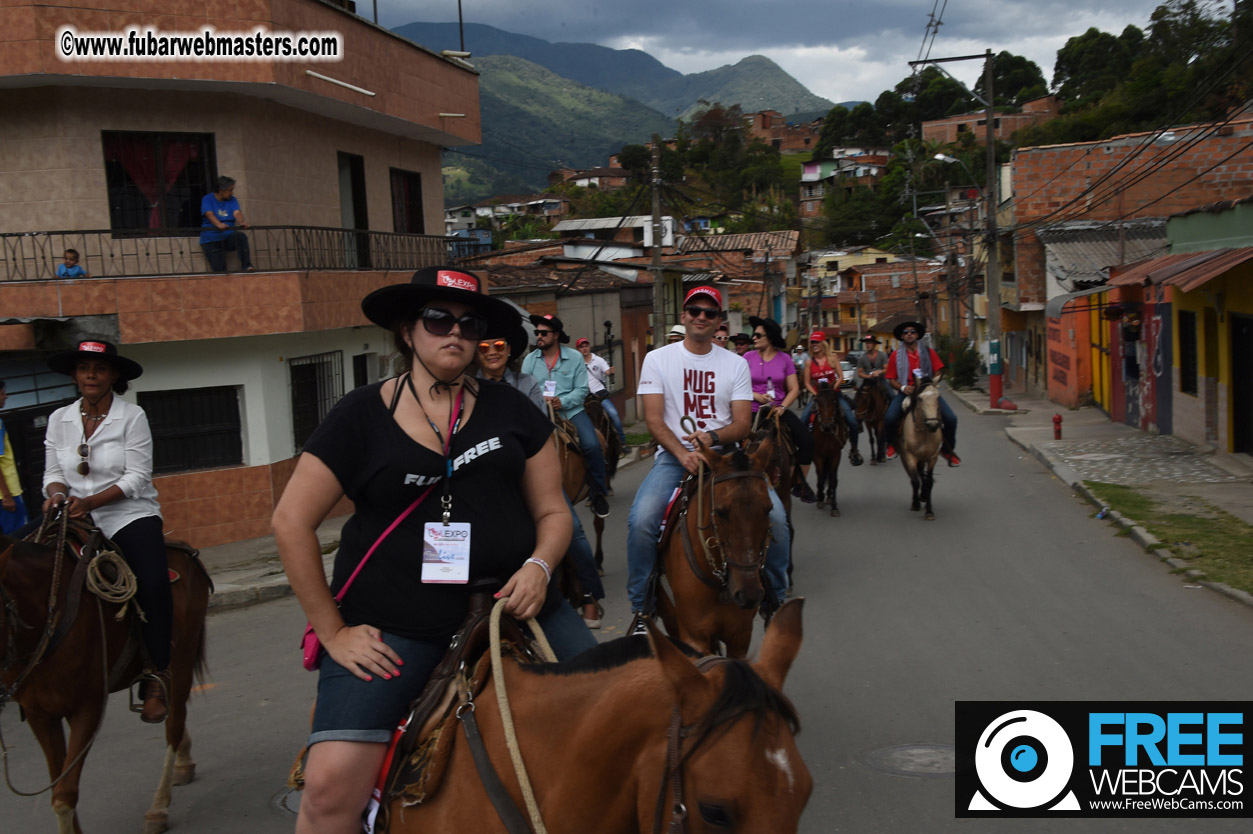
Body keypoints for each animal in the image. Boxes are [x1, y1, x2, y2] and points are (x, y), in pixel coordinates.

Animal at [0, 515, 210, 826]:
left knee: (174, 722)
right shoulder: (40, 715)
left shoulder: (87, 708)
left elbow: (64, 795)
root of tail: (187, 553)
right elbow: (59, 785)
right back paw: (183, 764)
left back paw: (158, 807)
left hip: (183, 656)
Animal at [806, 380, 847, 513]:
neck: (827, 434)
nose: (827, 426)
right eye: (817, 400)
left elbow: (833, 479)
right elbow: (820, 476)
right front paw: (819, 498)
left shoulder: (835, 454)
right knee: (823, 475)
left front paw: (834, 506)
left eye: (834, 400)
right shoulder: (817, 455)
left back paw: (829, 497)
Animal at [902, 378, 942, 520]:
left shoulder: (933, 457)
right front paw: (915, 503)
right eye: (920, 398)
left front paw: (929, 511)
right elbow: (915, 481)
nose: (933, 424)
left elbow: (929, 482)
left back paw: (923, 495)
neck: (923, 433)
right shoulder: (909, 456)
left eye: (938, 396)